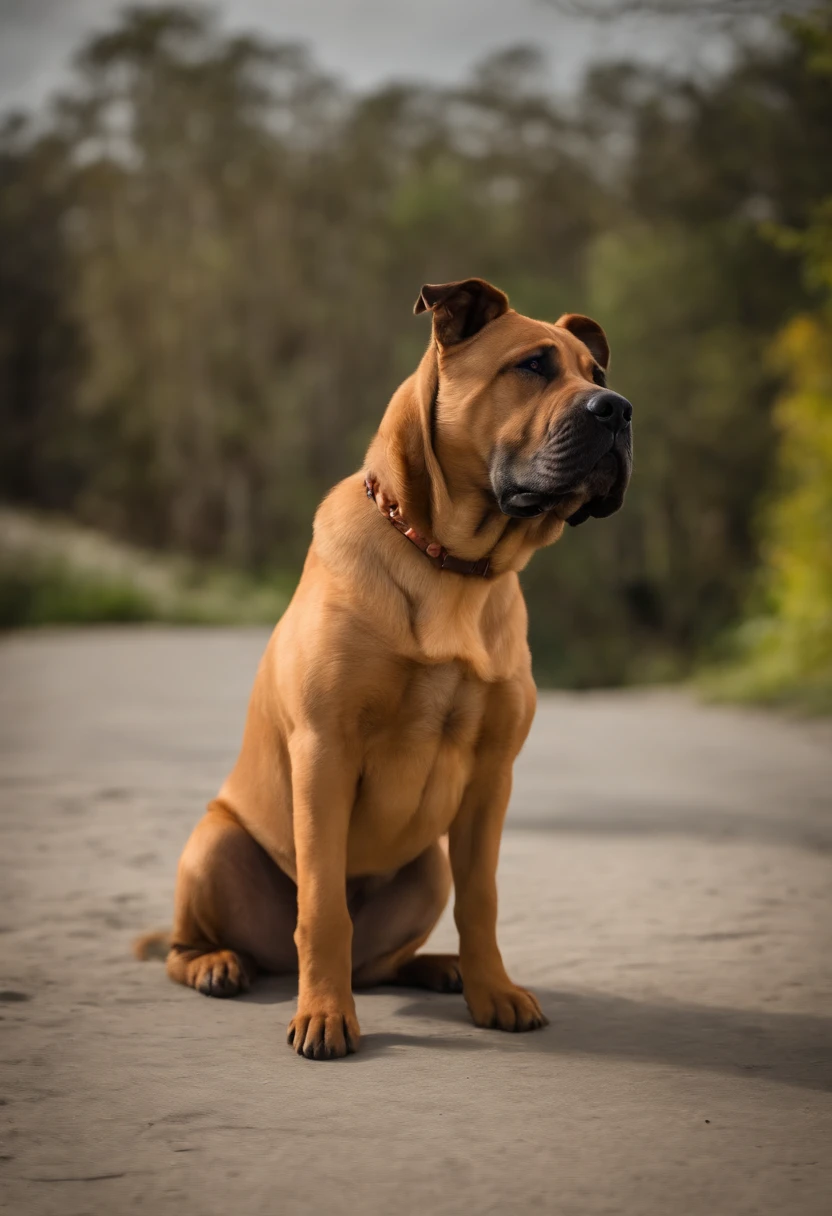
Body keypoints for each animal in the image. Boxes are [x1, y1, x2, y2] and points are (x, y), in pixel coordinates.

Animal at [136, 279, 632, 1060]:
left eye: (598, 374)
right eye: (532, 366)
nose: (619, 409)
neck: (452, 566)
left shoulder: (491, 777)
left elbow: (483, 900)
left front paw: (494, 992)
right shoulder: (325, 751)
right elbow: (322, 907)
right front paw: (324, 1014)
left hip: (429, 866)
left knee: (383, 961)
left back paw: (438, 969)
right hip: (214, 844)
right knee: (195, 946)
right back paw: (219, 963)